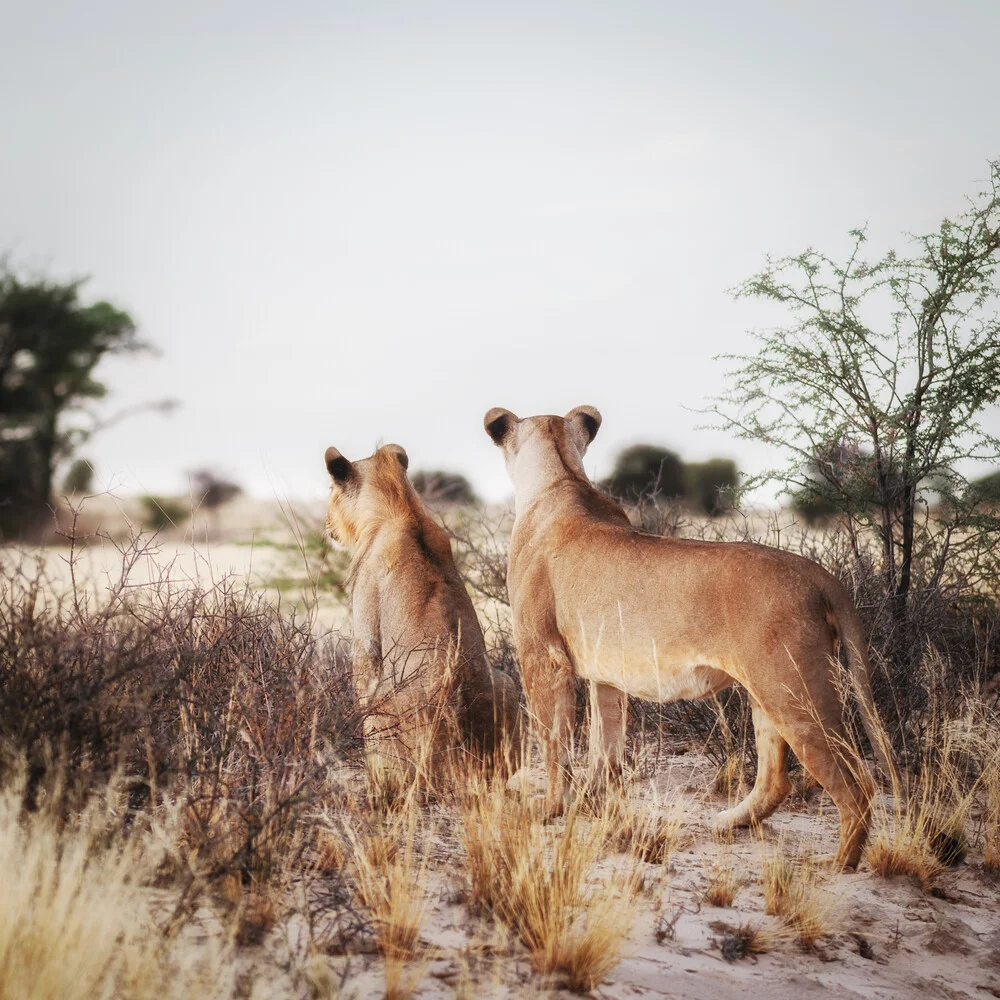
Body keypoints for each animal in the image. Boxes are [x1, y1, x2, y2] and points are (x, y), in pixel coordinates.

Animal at [324, 442, 524, 776]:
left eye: (330, 488)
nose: (326, 524)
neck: (403, 507)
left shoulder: (365, 633)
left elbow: (362, 675)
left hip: (383, 711)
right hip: (507, 683)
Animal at [482, 404, 892, 868]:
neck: (560, 477)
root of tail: (819, 574)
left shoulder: (541, 656)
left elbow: (552, 740)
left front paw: (549, 808)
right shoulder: (606, 675)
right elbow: (606, 747)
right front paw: (595, 805)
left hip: (796, 691)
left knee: (856, 784)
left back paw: (839, 866)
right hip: (769, 691)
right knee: (776, 780)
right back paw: (730, 822)